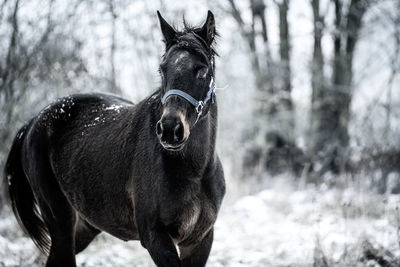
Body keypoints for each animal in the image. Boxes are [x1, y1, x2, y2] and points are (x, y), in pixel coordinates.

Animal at [3, 11, 225, 267]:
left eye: (202, 70)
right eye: (162, 69)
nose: (170, 130)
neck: (194, 172)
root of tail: (33, 122)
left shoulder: (199, 241)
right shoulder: (156, 238)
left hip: (85, 225)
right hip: (60, 221)